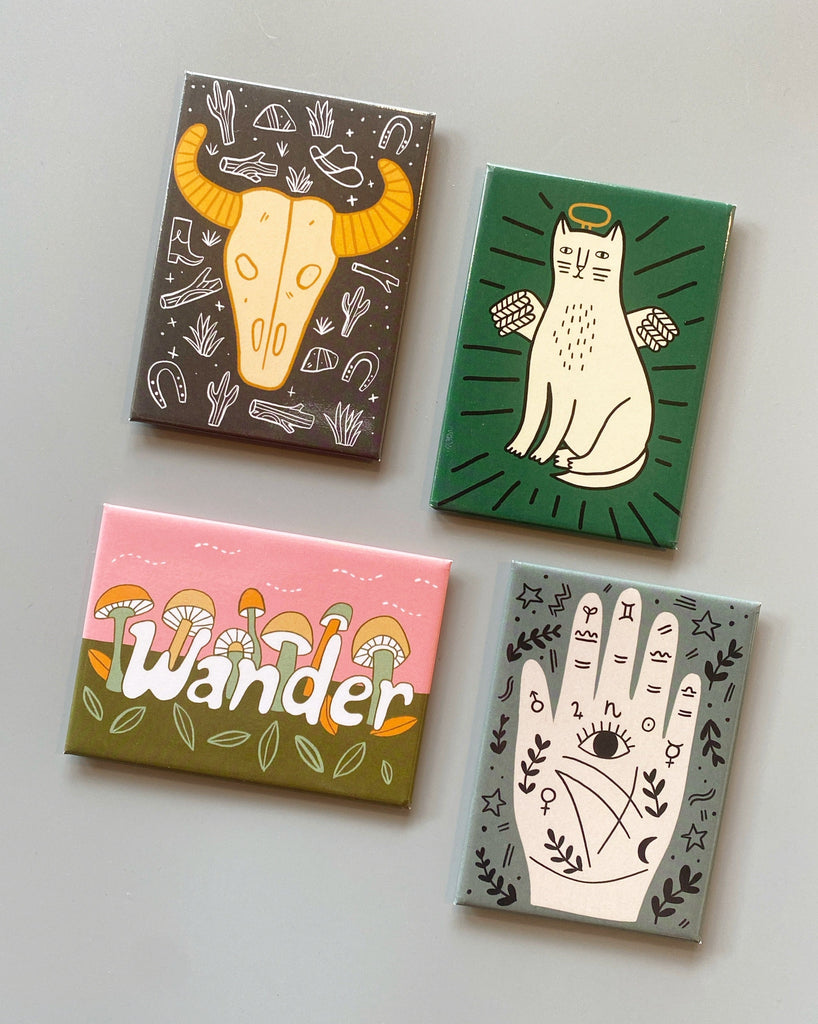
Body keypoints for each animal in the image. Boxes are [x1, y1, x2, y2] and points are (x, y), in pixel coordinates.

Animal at [492, 215, 677, 489]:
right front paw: (518, 447)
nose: (580, 266)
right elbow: (531, 417)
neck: (578, 303)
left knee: (599, 460)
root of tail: (643, 450)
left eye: (601, 255)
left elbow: (555, 424)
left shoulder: (566, 391)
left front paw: (540, 454)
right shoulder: (537, 379)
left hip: (616, 423)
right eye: (567, 250)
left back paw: (571, 463)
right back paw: (564, 456)